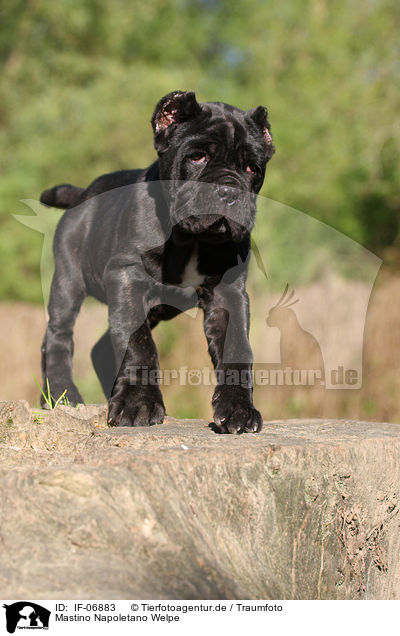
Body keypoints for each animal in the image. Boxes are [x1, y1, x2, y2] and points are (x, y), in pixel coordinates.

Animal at [40, 89, 276, 432]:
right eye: (197, 158)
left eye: (252, 169)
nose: (229, 190)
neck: (192, 239)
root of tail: (83, 194)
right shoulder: (127, 279)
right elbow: (139, 346)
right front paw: (138, 404)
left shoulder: (228, 293)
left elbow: (237, 348)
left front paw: (238, 409)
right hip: (67, 280)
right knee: (58, 335)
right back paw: (61, 394)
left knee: (100, 346)